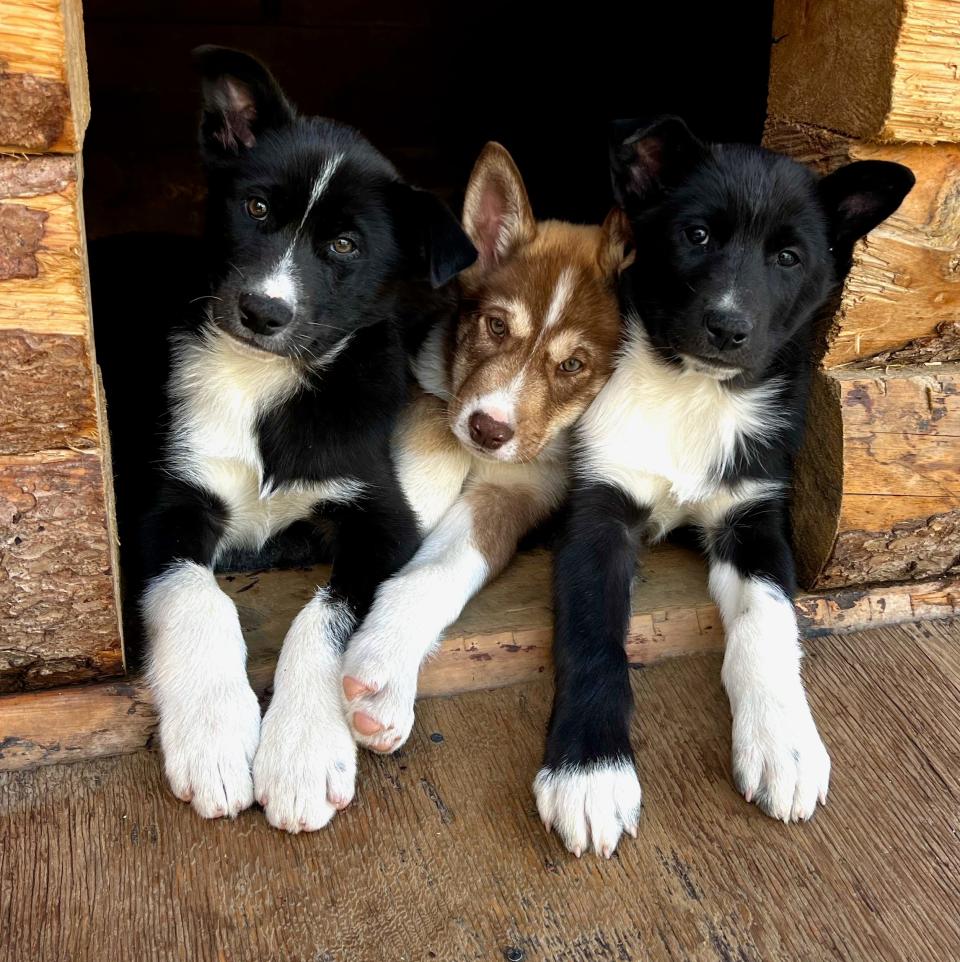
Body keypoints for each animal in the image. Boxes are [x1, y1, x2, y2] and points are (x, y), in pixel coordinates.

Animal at [142, 45, 472, 828]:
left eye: (344, 245)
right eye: (257, 207)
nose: (263, 311)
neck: (263, 381)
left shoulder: (381, 517)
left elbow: (326, 615)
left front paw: (300, 753)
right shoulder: (172, 499)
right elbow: (194, 592)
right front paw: (214, 735)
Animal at [338, 141, 632, 752]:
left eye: (573, 366)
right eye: (496, 327)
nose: (487, 431)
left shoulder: (518, 490)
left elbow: (439, 571)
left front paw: (381, 674)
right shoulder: (427, 387)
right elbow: (431, 453)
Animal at [532, 118, 916, 856]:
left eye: (789, 257)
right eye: (698, 235)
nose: (728, 327)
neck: (692, 392)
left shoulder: (754, 519)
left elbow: (768, 623)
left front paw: (784, 742)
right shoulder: (597, 513)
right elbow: (592, 634)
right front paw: (590, 771)